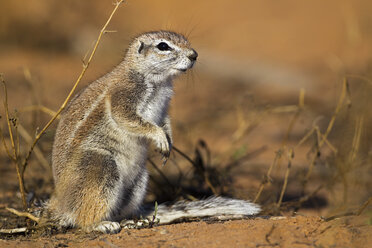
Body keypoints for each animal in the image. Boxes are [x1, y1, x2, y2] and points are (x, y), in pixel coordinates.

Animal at [46, 30, 260, 233]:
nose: (194, 55)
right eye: (163, 46)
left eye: (185, 40)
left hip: (139, 181)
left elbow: (164, 122)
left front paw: (168, 141)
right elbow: (128, 118)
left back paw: (133, 222)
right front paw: (159, 137)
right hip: (100, 168)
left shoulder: (163, 107)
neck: (157, 80)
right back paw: (100, 225)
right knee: (81, 217)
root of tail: (61, 204)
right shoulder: (124, 95)